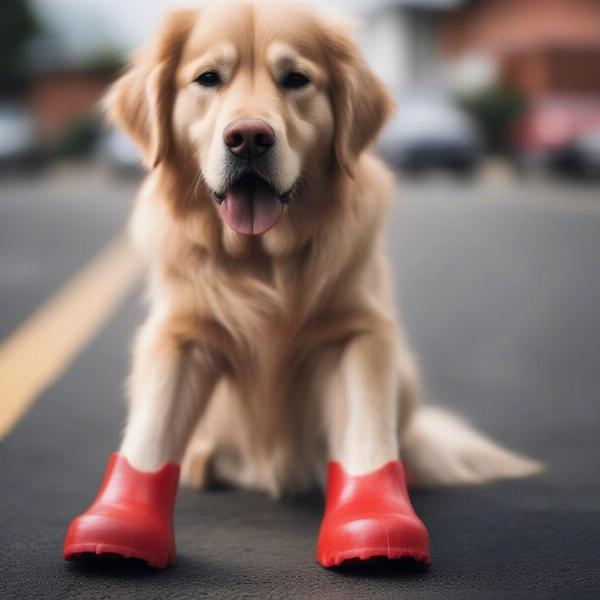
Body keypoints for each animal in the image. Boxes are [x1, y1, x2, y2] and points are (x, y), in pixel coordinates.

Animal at [63, 0, 540, 568]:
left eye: (295, 79)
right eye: (208, 78)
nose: (249, 138)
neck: (263, 264)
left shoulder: (360, 333)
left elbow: (368, 434)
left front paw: (377, 521)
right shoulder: (178, 333)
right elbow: (151, 429)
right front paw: (118, 524)